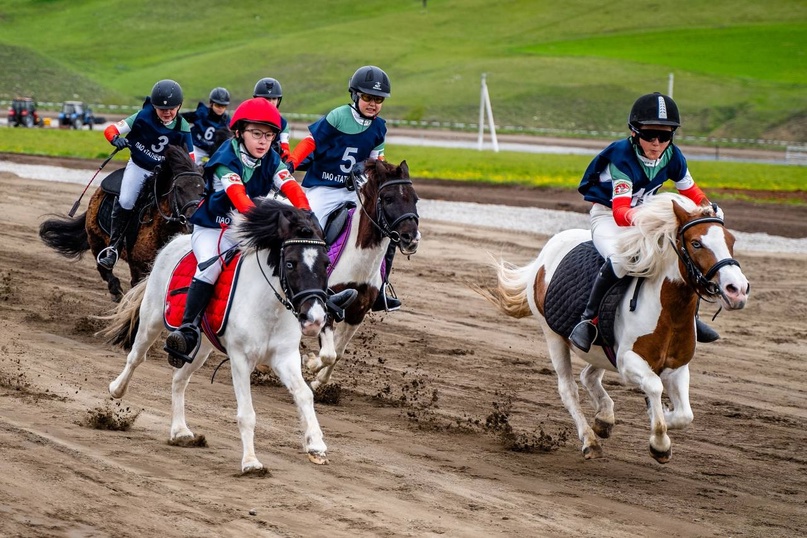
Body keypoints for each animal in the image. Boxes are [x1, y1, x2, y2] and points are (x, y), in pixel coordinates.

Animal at [40, 144, 205, 300]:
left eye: (204, 190)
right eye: (179, 188)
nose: (193, 221)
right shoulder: (139, 265)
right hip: (95, 238)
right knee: (103, 267)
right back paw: (115, 289)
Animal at [104, 199, 332, 472]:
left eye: (326, 263)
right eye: (290, 263)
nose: (315, 319)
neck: (270, 306)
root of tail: (176, 241)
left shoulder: (285, 357)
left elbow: (304, 393)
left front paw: (316, 444)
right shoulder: (241, 359)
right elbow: (247, 413)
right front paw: (251, 462)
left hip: (201, 349)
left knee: (179, 379)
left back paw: (180, 430)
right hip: (152, 319)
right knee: (136, 357)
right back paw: (117, 389)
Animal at [480, 195, 752, 462]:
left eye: (731, 240)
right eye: (696, 243)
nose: (737, 289)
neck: (668, 311)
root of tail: (547, 250)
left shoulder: (677, 366)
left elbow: (685, 414)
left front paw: (661, 414)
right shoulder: (628, 361)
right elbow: (654, 386)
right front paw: (659, 442)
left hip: (600, 350)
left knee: (588, 375)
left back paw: (604, 418)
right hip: (553, 337)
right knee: (568, 390)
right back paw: (590, 440)